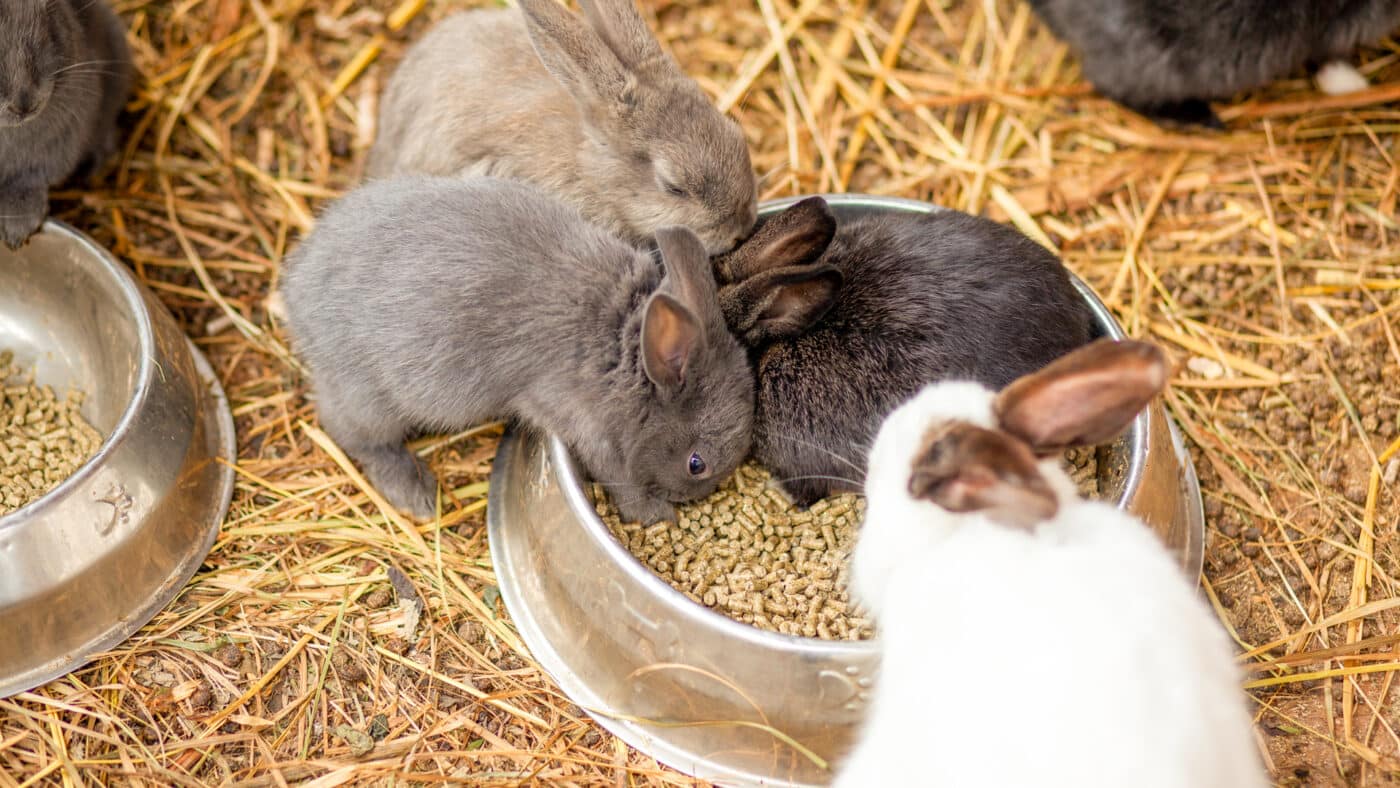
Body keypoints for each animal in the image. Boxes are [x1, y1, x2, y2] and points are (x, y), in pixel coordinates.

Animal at [281, 175, 754, 524]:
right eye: (697, 464)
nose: (695, 497)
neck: (626, 347)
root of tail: (295, 295)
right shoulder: (591, 432)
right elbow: (621, 480)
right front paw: (656, 515)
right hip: (370, 400)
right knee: (354, 436)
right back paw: (416, 493)